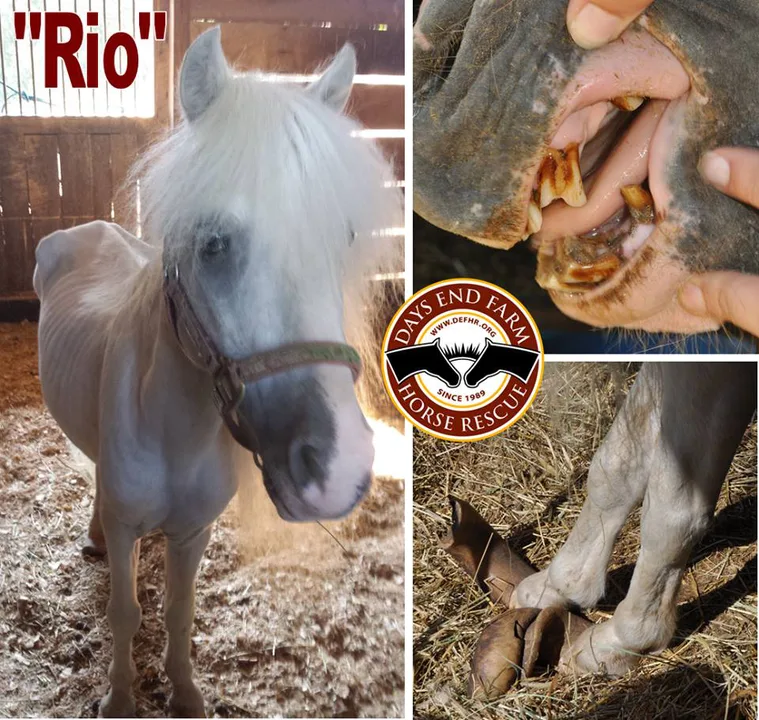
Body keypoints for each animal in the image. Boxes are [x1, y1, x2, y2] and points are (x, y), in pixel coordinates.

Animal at [32, 27, 402, 718]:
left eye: (343, 237)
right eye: (213, 244)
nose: (337, 470)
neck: (175, 430)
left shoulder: (192, 534)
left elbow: (178, 614)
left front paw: (184, 693)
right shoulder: (129, 528)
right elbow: (125, 613)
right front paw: (119, 699)